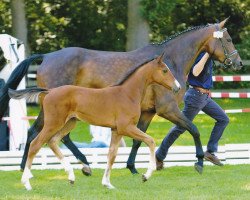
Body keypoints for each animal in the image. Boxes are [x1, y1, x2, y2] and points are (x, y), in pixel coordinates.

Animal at [8, 53, 180, 191]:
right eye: (165, 70)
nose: (177, 87)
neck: (127, 94)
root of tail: (50, 91)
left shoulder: (116, 130)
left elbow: (112, 155)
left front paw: (107, 184)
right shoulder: (126, 127)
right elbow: (150, 141)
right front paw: (146, 175)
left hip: (69, 123)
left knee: (53, 141)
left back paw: (71, 176)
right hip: (53, 123)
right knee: (35, 144)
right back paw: (27, 183)